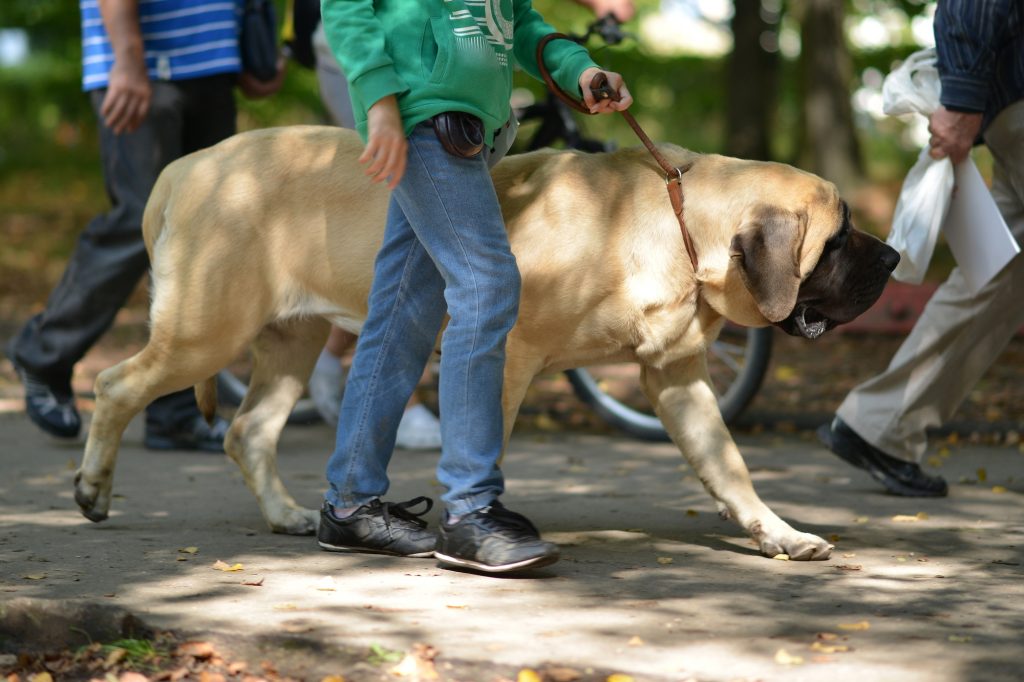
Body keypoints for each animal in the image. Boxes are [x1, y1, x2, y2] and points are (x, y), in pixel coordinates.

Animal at [74, 124, 897, 561]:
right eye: (839, 238)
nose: (892, 260)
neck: (677, 218)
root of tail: (185, 167)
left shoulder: (676, 378)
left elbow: (728, 466)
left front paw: (778, 533)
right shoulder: (508, 355)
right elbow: (484, 440)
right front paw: (473, 529)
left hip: (289, 344)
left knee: (247, 429)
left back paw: (287, 515)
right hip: (206, 332)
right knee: (115, 386)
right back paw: (91, 490)